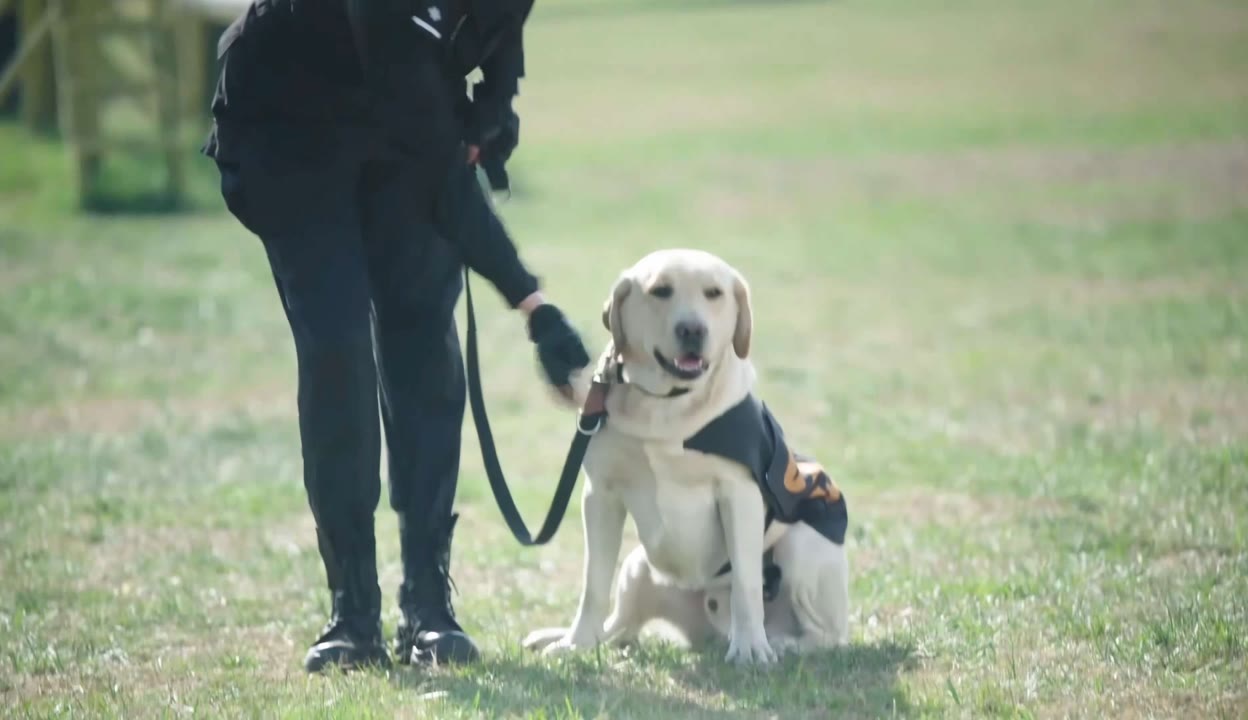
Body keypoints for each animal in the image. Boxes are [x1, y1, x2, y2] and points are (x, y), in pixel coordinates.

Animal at [521, 249, 853, 663]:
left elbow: (746, 582)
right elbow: (593, 583)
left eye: (714, 293)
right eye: (660, 291)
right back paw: (560, 637)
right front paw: (576, 643)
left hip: (804, 546)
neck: (665, 406)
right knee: (618, 629)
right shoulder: (601, 495)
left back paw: (780, 642)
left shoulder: (739, 494)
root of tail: (710, 631)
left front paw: (751, 649)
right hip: (638, 567)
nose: (692, 330)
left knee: (827, 636)